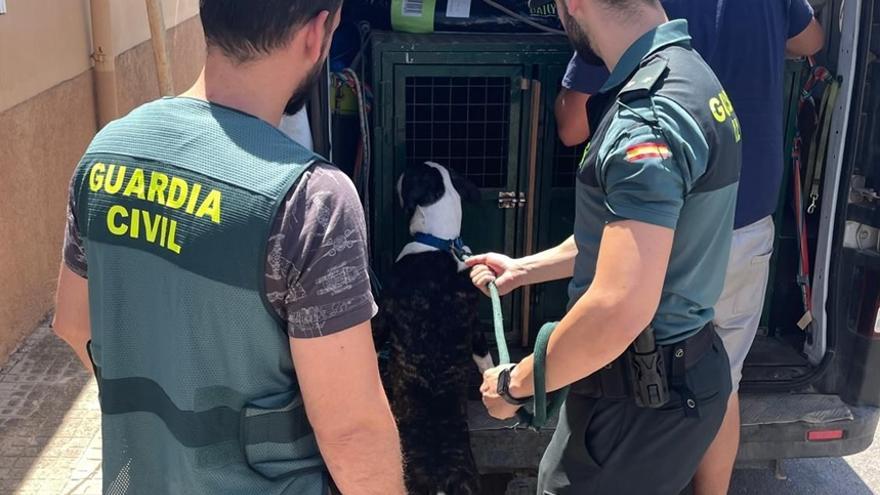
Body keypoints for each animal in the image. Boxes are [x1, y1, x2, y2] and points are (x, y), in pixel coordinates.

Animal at [374, 161, 492, 494]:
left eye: (410, 173)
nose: (400, 171)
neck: (440, 241)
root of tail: (441, 480)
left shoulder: (384, 312)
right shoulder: (476, 328)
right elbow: (485, 358)